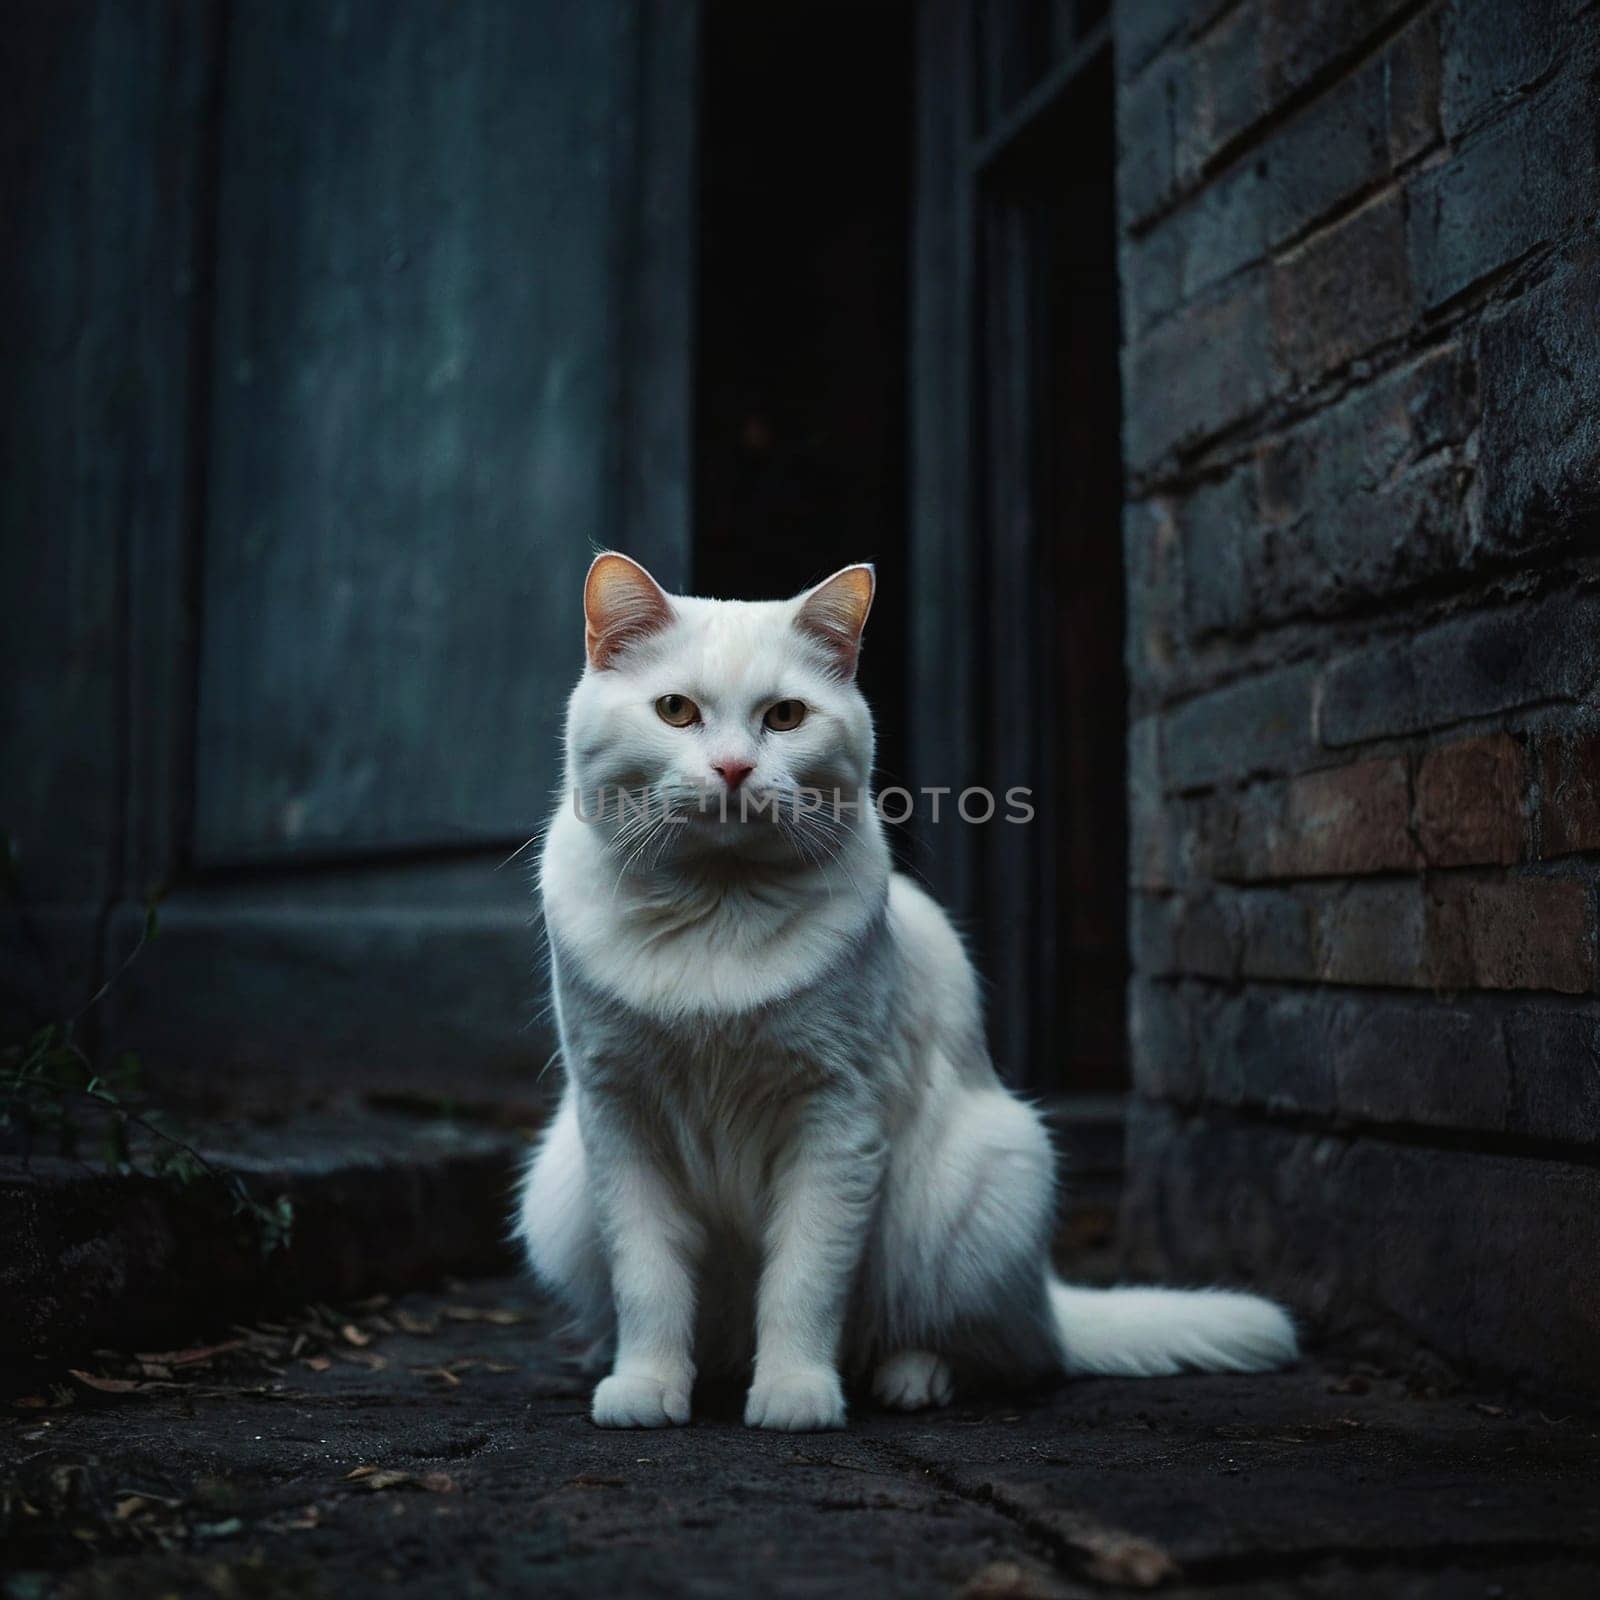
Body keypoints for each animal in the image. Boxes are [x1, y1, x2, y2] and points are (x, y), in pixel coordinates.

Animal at [518, 556, 1292, 1433]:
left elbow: (805, 1278)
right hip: (558, 1192)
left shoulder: (838, 1120)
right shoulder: (618, 1120)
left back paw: (912, 1377)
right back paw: (617, 1360)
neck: (719, 905)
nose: (734, 770)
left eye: (785, 716)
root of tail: (1048, 1297)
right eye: (676, 711)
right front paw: (645, 1384)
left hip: (987, 1184)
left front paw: (795, 1392)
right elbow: (646, 1278)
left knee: (998, 1350)